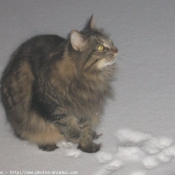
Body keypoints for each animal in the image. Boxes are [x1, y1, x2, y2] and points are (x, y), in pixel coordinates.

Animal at [0, 15, 117, 152]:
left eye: (111, 42)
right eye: (101, 48)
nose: (116, 50)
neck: (88, 79)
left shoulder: (87, 106)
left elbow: (86, 128)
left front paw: (87, 145)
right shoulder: (48, 104)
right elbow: (65, 120)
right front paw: (75, 135)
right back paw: (48, 144)